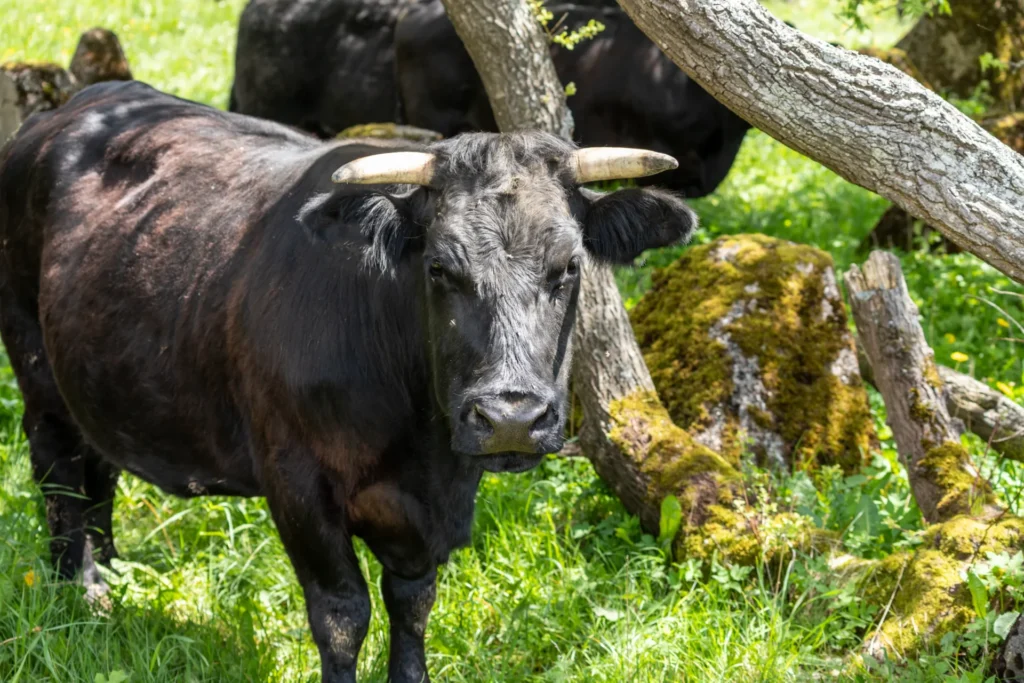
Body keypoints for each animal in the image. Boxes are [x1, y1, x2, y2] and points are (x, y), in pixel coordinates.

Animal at [0, 80, 696, 682]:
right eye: (439, 267)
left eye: (569, 265)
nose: (510, 419)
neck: (419, 448)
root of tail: (73, 109)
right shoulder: (296, 481)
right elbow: (341, 613)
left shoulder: (433, 509)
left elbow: (413, 604)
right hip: (37, 372)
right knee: (60, 474)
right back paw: (83, 590)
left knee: (100, 472)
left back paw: (116, 575)